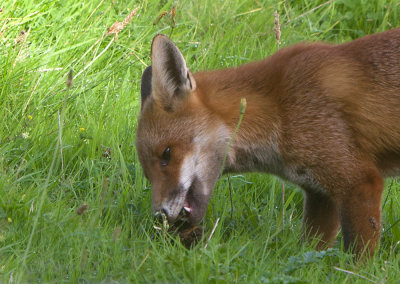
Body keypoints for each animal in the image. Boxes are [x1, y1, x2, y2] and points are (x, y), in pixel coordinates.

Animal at [136, 29, 400, 258]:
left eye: (167, 154)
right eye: (147, 174)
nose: (159, 216)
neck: (278, 107)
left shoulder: (359, 182)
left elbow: (359, 260)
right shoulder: (319, 195)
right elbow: (310, 251)